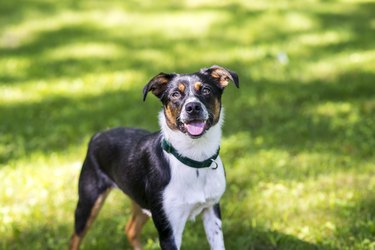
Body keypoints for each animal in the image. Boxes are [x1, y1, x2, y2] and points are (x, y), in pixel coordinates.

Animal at [70, 65, 241, 249]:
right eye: (175, 94)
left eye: (206, 90)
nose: (193, 107)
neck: (194, 159)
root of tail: (97, 135)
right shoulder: (169, 230)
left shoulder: (212, 210)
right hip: (88, 201)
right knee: (75, 238)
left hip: (140, 201)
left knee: (130, 229)